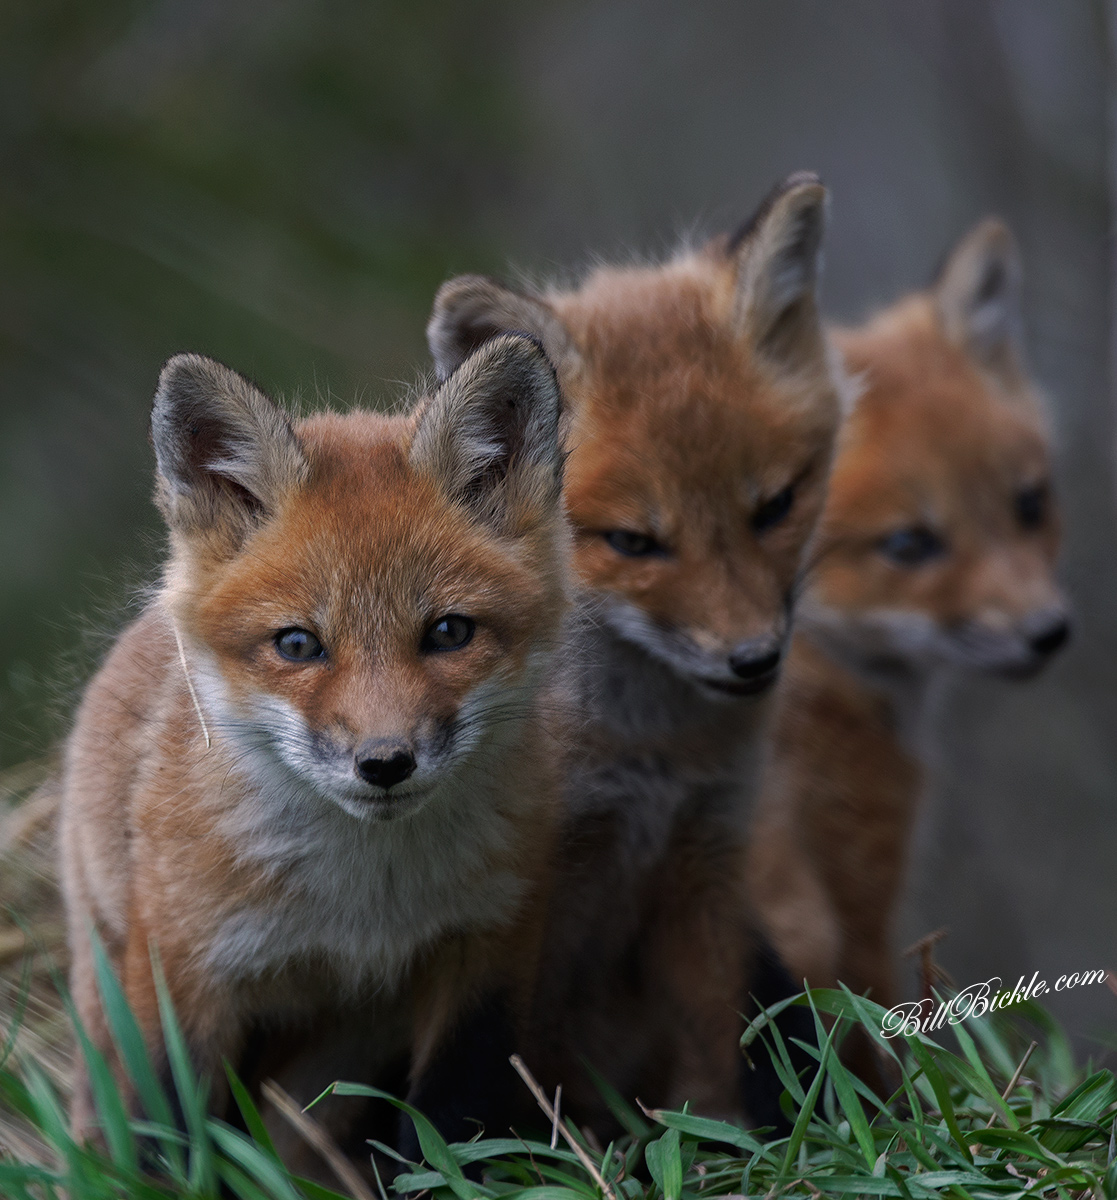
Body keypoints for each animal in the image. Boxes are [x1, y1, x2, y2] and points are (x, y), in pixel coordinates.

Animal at [58, 334, 569, 1169]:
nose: (385, 762)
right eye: (298, 645)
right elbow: (167, 1144)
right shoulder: (183, 972)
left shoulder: (488, 948)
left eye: (448, 632)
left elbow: (450, 1133)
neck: (361, 906)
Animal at [427, 173, 848, 1133]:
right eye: (633, 542)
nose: (752, 661)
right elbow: (482, 1080)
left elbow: (746, 1040)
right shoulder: (520, 896)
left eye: (775, 506)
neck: (646, 754)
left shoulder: (705, 860)